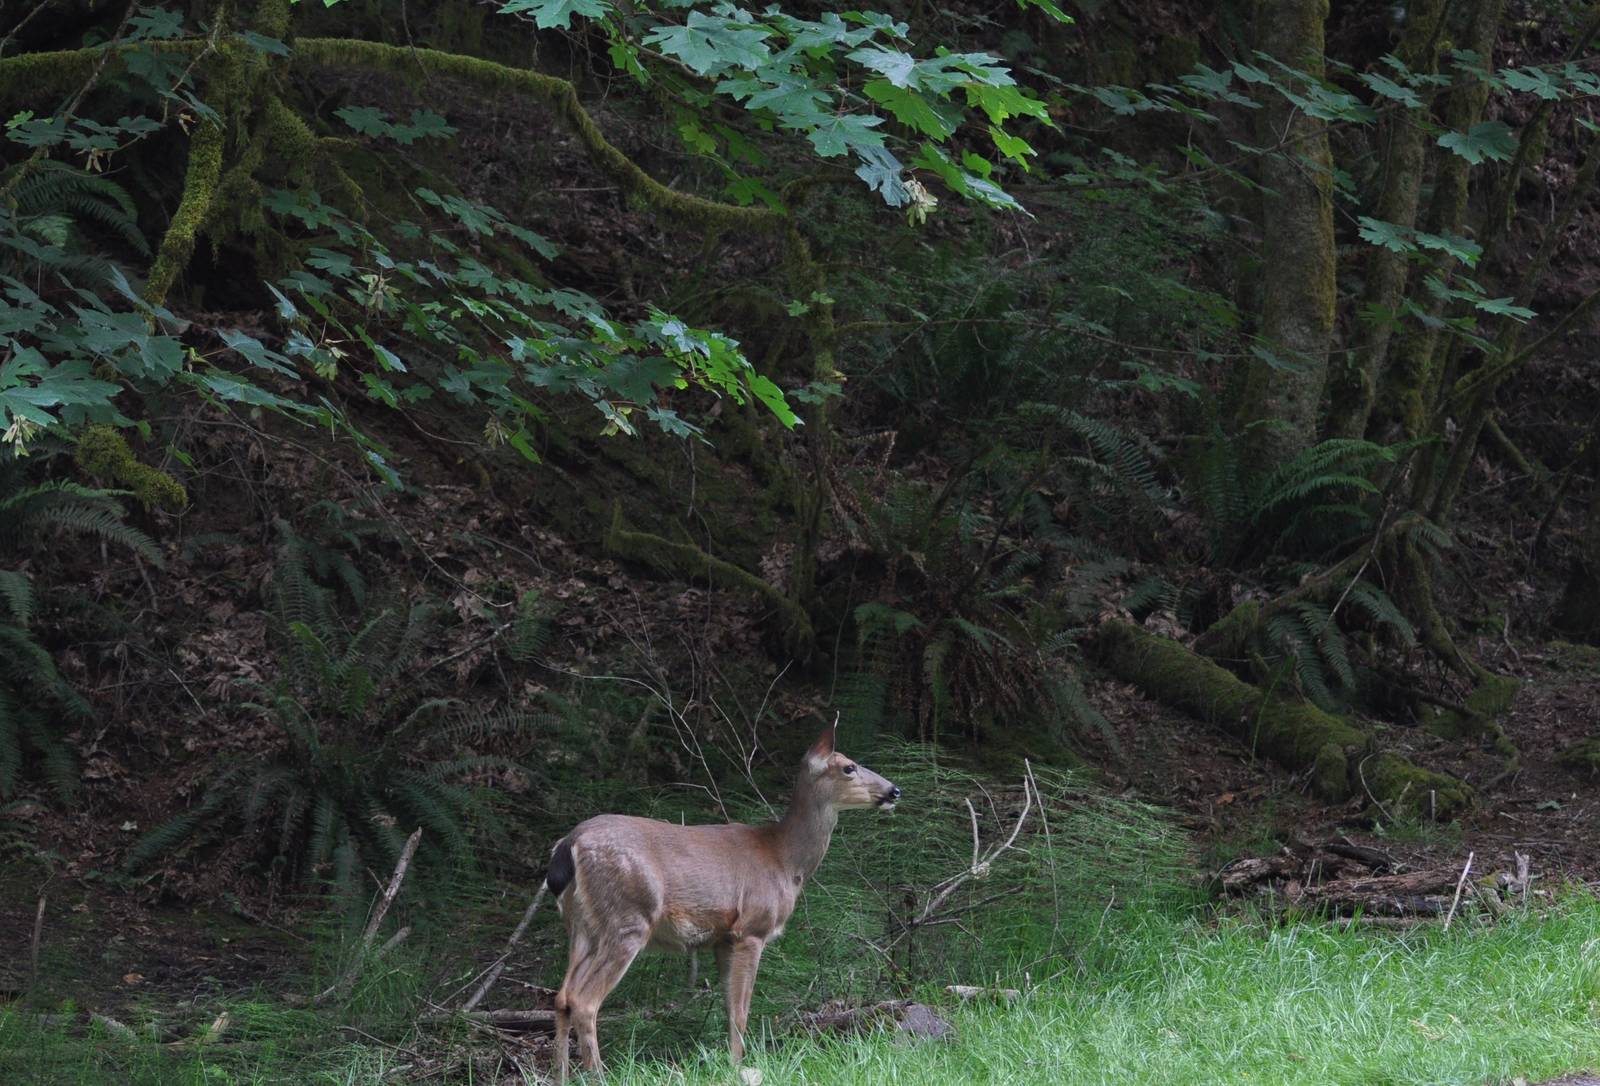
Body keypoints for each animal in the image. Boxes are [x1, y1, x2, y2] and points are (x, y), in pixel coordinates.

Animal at [542, 718, 900, 1081]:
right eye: (849, 767)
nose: (893, 791)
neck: (785, 860)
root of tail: (569, 844)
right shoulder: (751, 928)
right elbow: (742, 1008)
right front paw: (739, 1066)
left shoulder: (722, 939)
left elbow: (729, 1005)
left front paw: (730, 1061)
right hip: (628, 918)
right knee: (585, 1001)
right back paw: (599, 1075)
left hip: (581, 925)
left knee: (562, 996)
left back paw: (561, 1076)